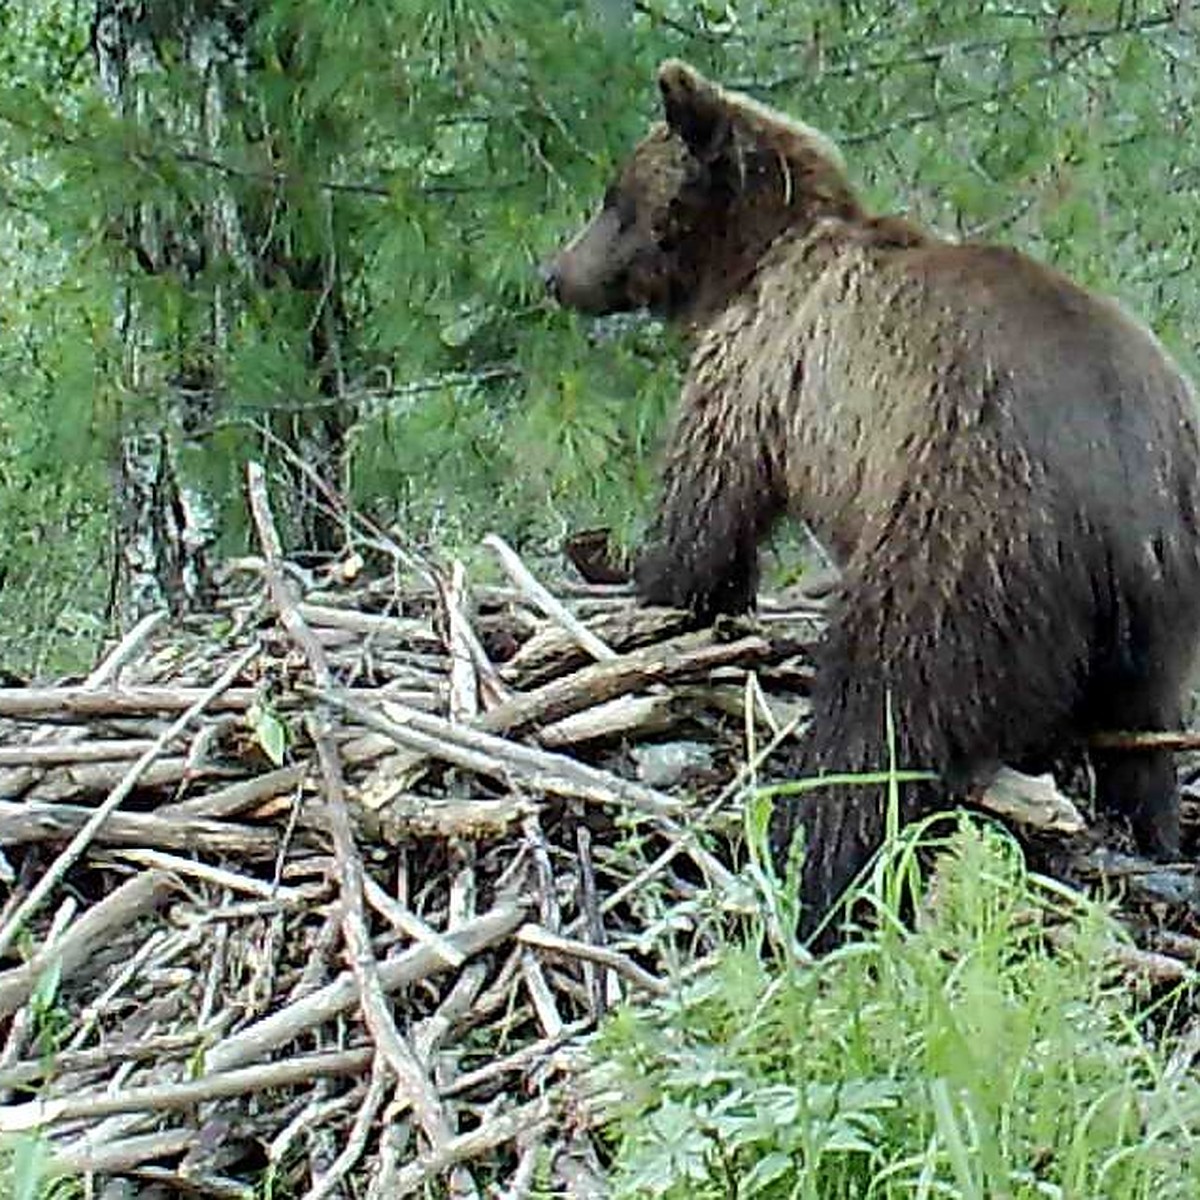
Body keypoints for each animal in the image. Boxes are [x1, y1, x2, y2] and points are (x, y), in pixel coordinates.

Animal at [542, 58, 1200, 936]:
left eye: (616, 197)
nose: (555, 273)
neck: (749, 263)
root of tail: (1122, 497)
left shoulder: (760, 371)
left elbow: (707, 514)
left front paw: (652, 588)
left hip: (968, 523)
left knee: (885, 701)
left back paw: (816, 867)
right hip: (1161, 600)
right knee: (1142, 735)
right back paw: (1148, 832)